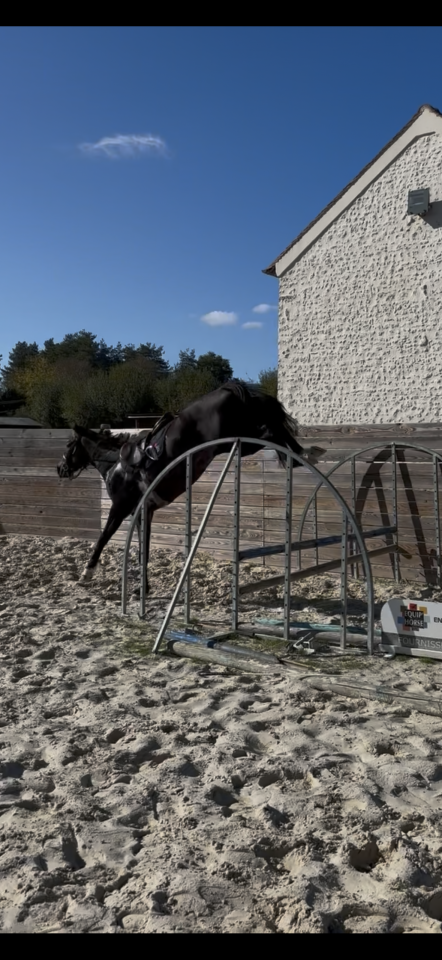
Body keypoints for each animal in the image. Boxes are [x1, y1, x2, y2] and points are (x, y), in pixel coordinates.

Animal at [57, 379, 325, 587]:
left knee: (270, 431)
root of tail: (229, 389)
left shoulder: (120, 508)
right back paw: (306, 453)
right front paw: (143, 587)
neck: (117, 465)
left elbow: (104, 537)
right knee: (272, 431)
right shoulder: (144, 511)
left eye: (69, 445)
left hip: (232, 438)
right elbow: (143, 548)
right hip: (238, 440)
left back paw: (301, 455)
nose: (60, 469)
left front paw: (86, 574)